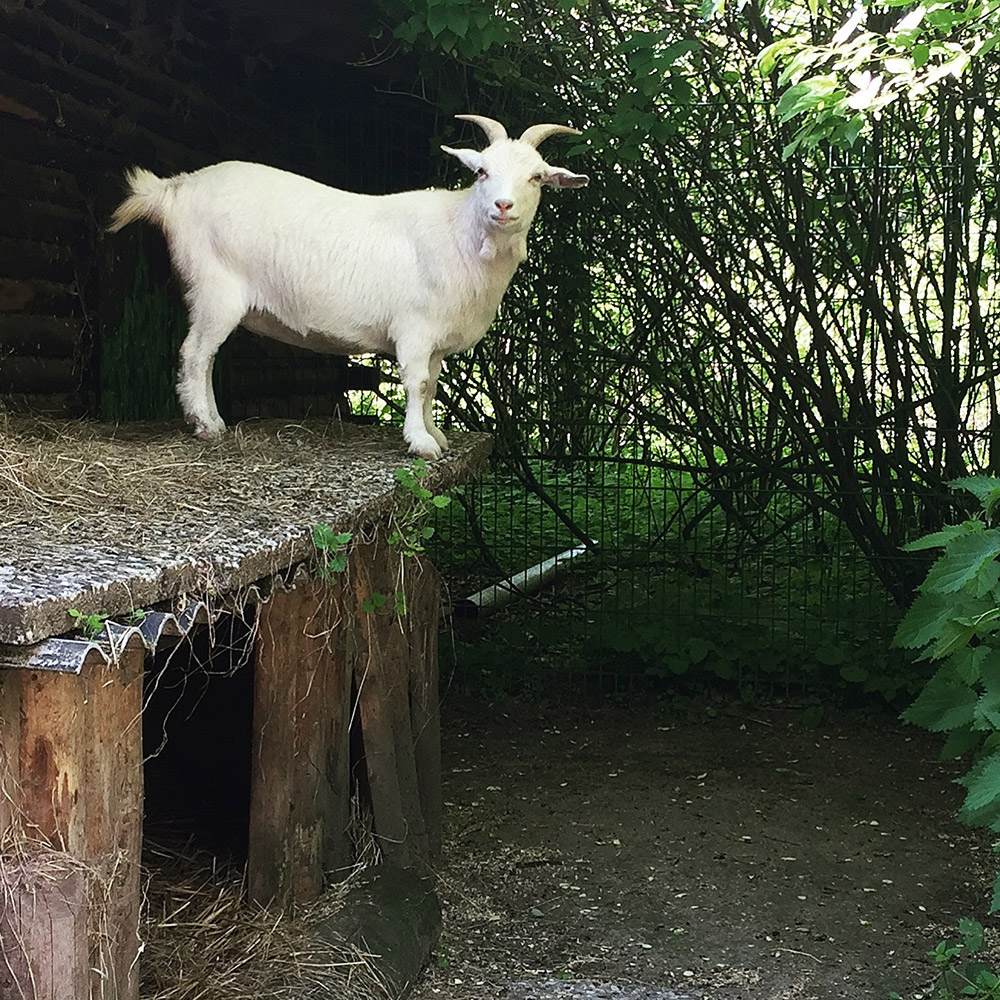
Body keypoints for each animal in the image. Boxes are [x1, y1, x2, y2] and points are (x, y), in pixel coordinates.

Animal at [107, 115, 592, 458]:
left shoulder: (436, 341)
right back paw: (205, 425)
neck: (459, 234)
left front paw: (435, 433)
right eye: (482, 172)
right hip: (214, 288)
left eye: (537, 177)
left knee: (204, 357)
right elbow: (417, 383)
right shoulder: (415, 329)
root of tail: (175, 189)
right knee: (195, 355)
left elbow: (433, 386)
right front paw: (421, 444)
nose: (503, 206)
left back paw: (216, 422)